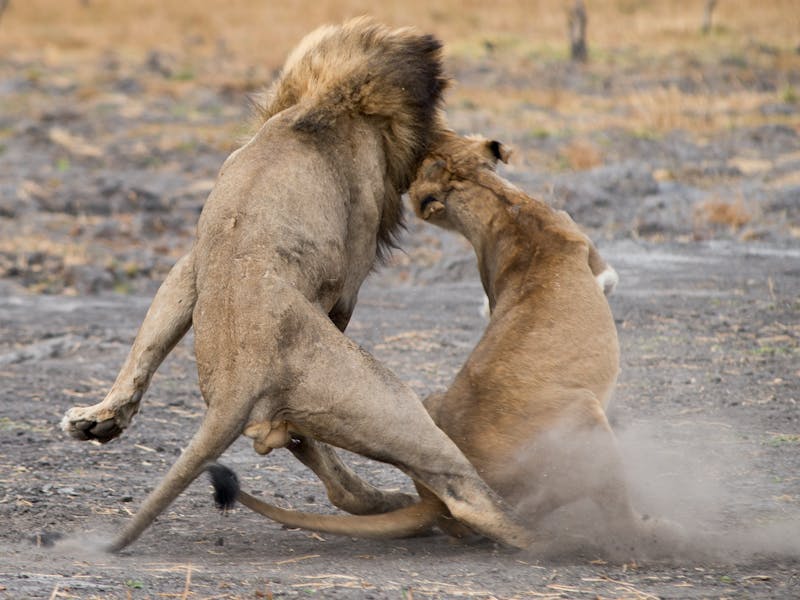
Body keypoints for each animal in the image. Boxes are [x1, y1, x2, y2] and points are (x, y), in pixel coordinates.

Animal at [61, 21, 532, 552]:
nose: (484, 146)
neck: (322, 104)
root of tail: (241, 380)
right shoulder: (351, 271)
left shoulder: (188, 265)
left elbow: (147, 344)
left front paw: (101, 417)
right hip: (391, 400)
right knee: (460, 490)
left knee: (331, 472)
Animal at [209, 132, 680, 556]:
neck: (498, 205)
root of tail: (437, 499)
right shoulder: (595, 261)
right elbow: (608, 277)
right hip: (584, 416)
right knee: (613, 510)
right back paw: (651, 531)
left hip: (432, 403)